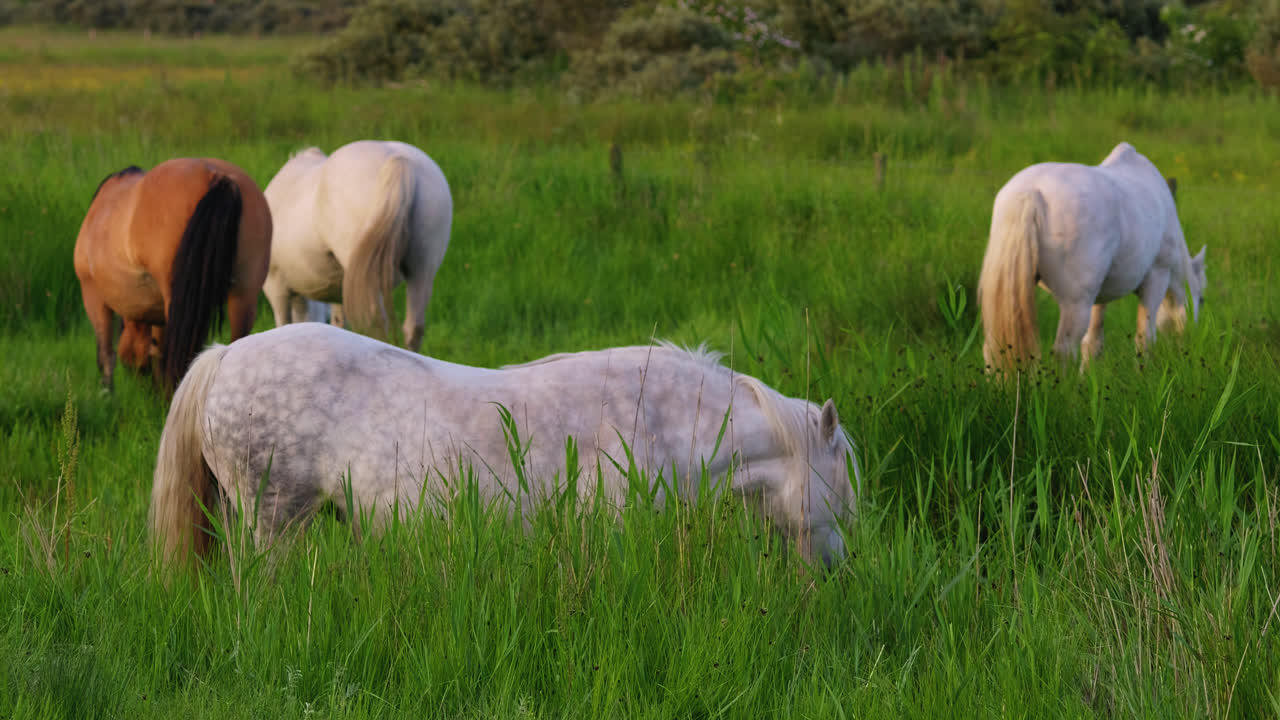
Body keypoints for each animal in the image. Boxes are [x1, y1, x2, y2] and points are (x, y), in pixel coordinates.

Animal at [73, 159, 273, 392]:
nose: (145, 390)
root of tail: (219, 177)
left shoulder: (93, 295)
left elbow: (105, 355)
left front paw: (107, 393)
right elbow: (158, 350)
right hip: (244, 296)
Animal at [262, 140, 453, 352]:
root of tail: (398, 159)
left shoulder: (276, 287)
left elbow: (283, 324)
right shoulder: (337, 290)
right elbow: (338, 323)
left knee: (378, 323)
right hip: (422, 271)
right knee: (414, 328)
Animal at [977, 142, 1207, 373]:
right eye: (1202, 299)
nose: (1190, 341)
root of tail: (1032, 192)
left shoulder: (1099, 296)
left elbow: (1093, 343)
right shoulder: (1157, 277)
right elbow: (1145, 338)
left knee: (992, 350)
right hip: (1076, 303)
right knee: (1064, 351)